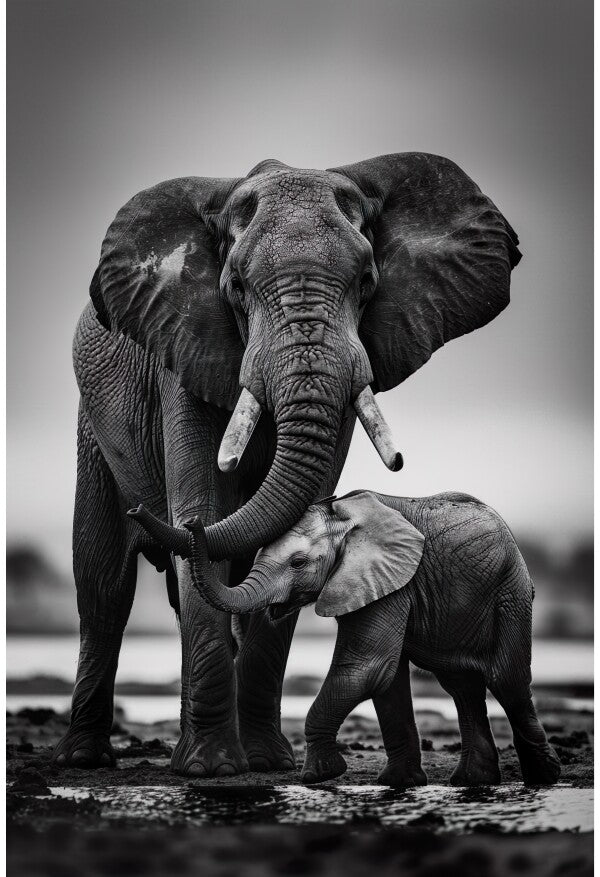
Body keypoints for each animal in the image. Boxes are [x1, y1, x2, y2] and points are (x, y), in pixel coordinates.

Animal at [53, 153, 521, 778]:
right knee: (102, 583)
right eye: (235, 287)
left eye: (367, 282)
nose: (174, 523)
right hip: (93, 426)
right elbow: (202, 502)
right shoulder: (184, 349)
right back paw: (87, 759)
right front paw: (213, 770)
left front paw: (265, 764)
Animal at [133, 490, 561, 788]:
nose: (191, 522)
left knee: (506, 680)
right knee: (462, 686)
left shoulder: (390, 581)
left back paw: (543, 777)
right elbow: (386, 680)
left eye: (298, 563)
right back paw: (473, 782)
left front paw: (319, 776)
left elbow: (368, 668)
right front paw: (397, 784)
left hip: (510, 592)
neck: (344, 517)